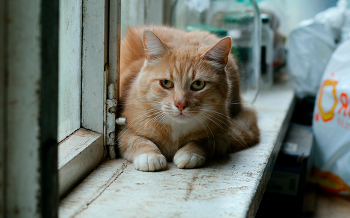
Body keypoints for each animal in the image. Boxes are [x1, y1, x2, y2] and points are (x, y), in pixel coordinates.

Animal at [118, 26, 260, 172]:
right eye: (166, 83)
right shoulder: (123, 130)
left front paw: (190, 153)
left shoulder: (222, 138)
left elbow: (203, 143)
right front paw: (149, 155)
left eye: (198, 84)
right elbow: (137, 140)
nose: (180, 104)